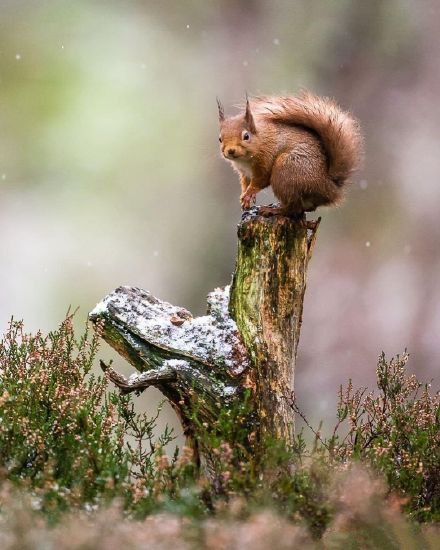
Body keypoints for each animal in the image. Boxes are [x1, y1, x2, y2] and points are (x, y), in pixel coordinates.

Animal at [218, 91, 362, 217]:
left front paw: (249, 194)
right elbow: (245, 183)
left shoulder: (266, 158)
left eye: (246, 136)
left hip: (286, 171)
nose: (230, 151)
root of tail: (329, 187)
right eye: (220, 139)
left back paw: (274, 210)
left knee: (293, 208)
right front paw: (244, 196)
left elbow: (261, 180)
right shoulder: (245, 173)